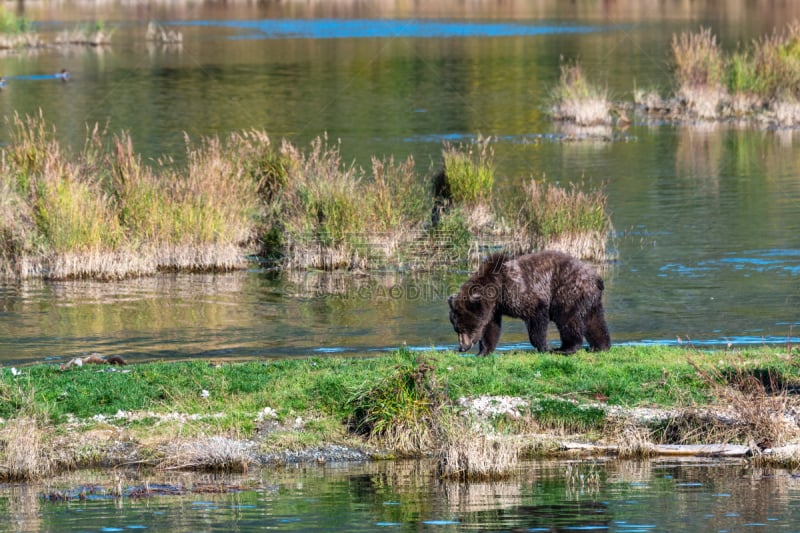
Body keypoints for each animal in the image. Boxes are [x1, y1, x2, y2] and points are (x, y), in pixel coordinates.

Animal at [446, 250, 608, 358]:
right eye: (456, 328)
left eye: (464, 328)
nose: (462, 348)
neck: (497, 290)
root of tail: (596, 277)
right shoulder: (494, 309)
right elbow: (491, 328)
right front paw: (483, 352)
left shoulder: (520, 292)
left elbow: (537, 318)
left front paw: (544, 347)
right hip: (590, 298)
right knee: (594, 321)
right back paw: (599, 346)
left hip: (568, 289)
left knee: (567, 318)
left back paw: (565, 348)